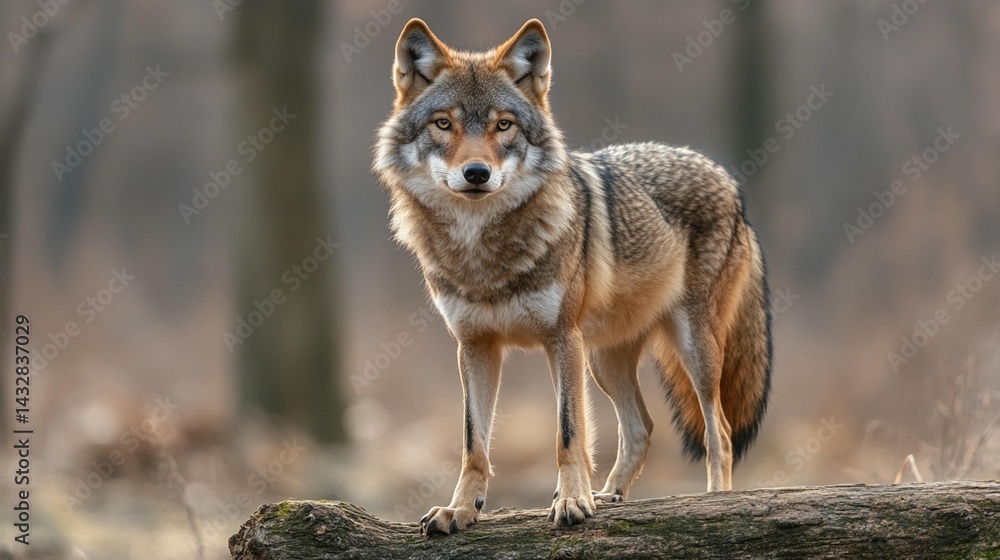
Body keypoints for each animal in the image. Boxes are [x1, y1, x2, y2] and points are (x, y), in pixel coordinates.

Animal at [373, 18, 772, 535]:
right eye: (444, 124)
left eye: (504, 125)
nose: (477, 173)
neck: (485, 254)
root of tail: (728, 179)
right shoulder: (475, 347)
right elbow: (473, 443)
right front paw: (460, 510)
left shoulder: (561, 339)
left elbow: (568, 432)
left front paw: (572, 502)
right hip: (602, 359)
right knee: (642, 428)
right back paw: (612, 496)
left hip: (690, 349)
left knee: (717, 430)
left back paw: (714, 501)